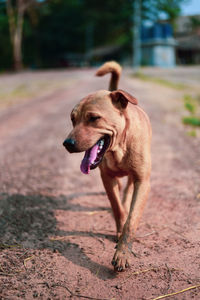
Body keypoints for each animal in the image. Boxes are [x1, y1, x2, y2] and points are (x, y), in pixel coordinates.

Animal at [63, 61, 151, 272]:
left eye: (94, 118)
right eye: (72, 119)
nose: (67, 143)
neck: (119, 148)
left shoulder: (143, 181)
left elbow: (131, 220)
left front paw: (123, 253)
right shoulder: (107, 179)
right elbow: (117, 208)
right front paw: (119, 230)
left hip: (134, 178)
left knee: (128, 191)